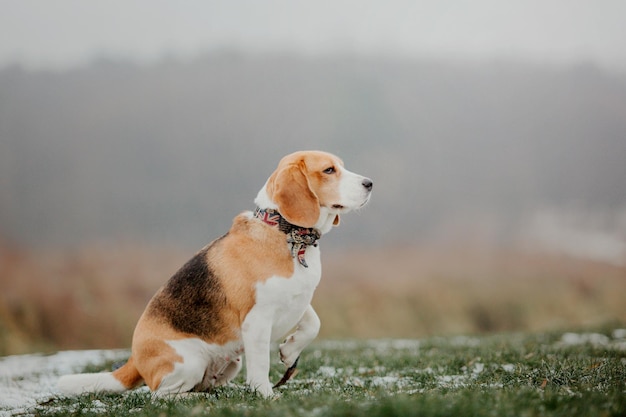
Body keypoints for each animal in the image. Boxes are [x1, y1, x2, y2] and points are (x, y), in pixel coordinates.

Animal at [57, 150, 370, 396]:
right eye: (329, 170)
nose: (370, 183)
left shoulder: (298, 297)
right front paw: (266, 394)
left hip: (231, 362)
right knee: (160, 394)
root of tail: (134, 358)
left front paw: (290, 350)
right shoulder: (257, 320)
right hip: (189, 363)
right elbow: (261, 365)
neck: (287, 234)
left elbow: (313, 323)